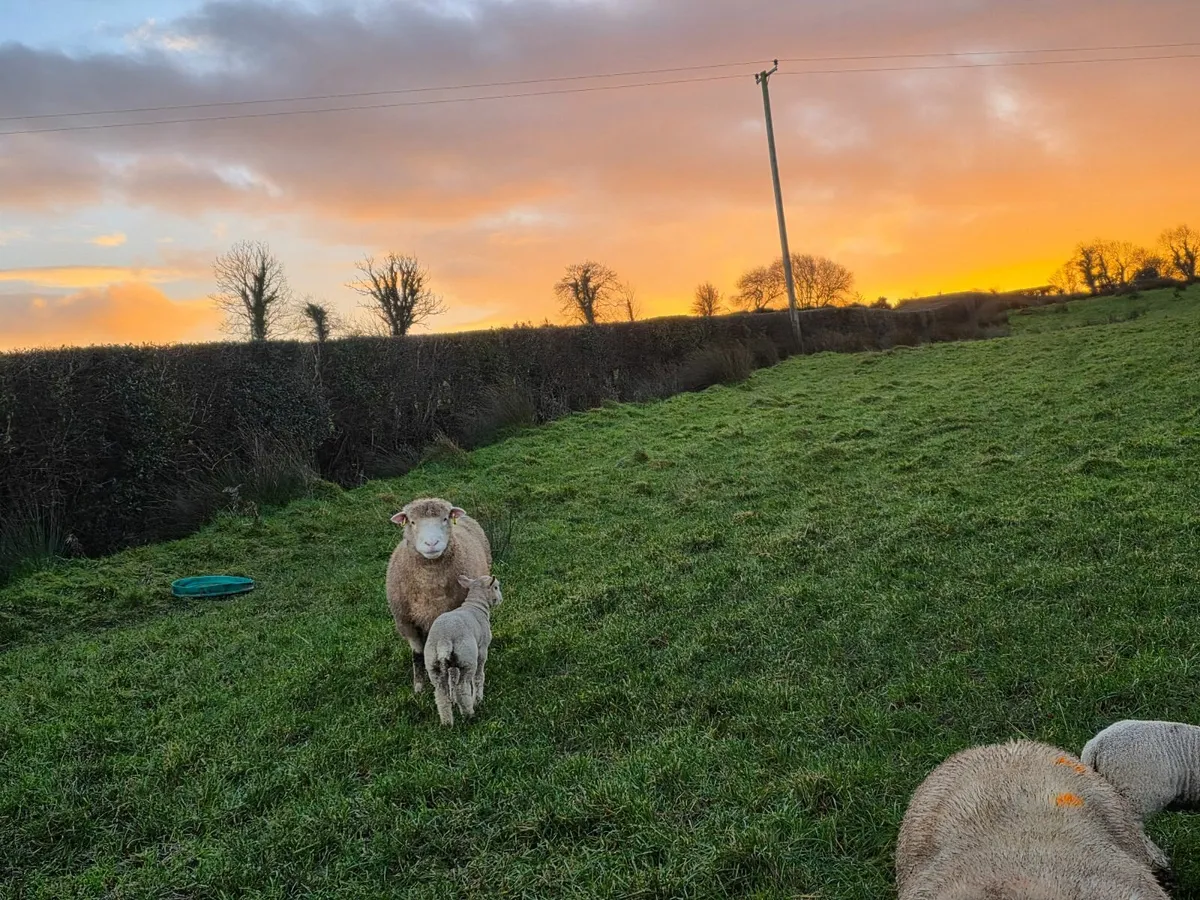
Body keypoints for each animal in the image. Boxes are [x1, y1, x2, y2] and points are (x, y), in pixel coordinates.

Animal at [385, 497, 492, 694]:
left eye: (444, 518)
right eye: (412, 522)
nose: (432, 543)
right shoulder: (406, 622)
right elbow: (417, 654)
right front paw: (419, 686)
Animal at [423, 574, 503, 726]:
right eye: (496, 587)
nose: (501, 599)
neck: (475, 606)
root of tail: (444, 639)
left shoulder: (454, 664)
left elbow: (452, 679)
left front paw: (454, 700)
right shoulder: (482, 650)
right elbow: (479, 677)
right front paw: (478, 699)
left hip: (433, 663)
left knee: (441, 694)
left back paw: (447, 722)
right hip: (468, 658)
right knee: (463, 687)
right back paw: (469, 714)